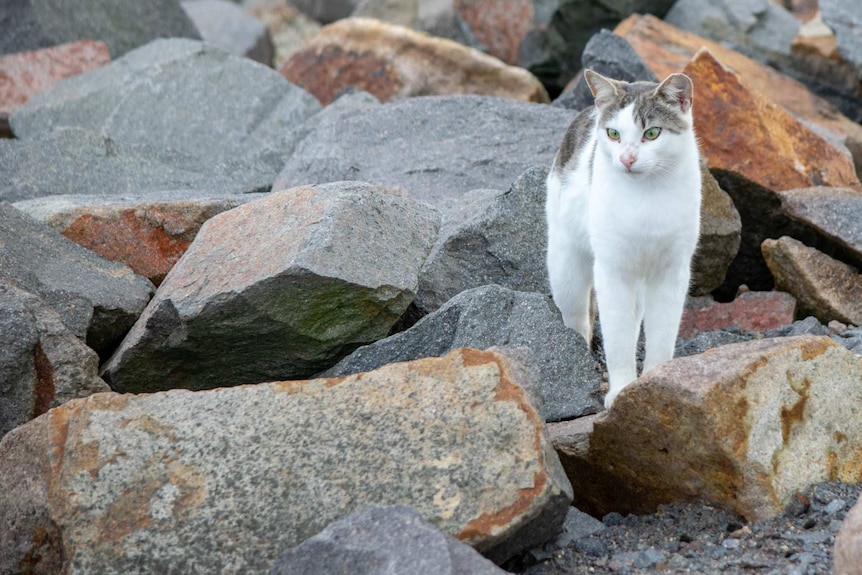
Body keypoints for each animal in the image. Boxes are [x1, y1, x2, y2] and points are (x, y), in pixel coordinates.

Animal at [548, 70, 704, 410]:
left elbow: (661, 335)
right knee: (578, 318)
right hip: (566, 267)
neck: (647, 198)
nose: (628, 158)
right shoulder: (613, 271)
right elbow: (617, 338)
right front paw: (620, 391)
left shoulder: (672, 272)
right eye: (614, 134)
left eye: (652, 133)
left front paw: (655, 383)